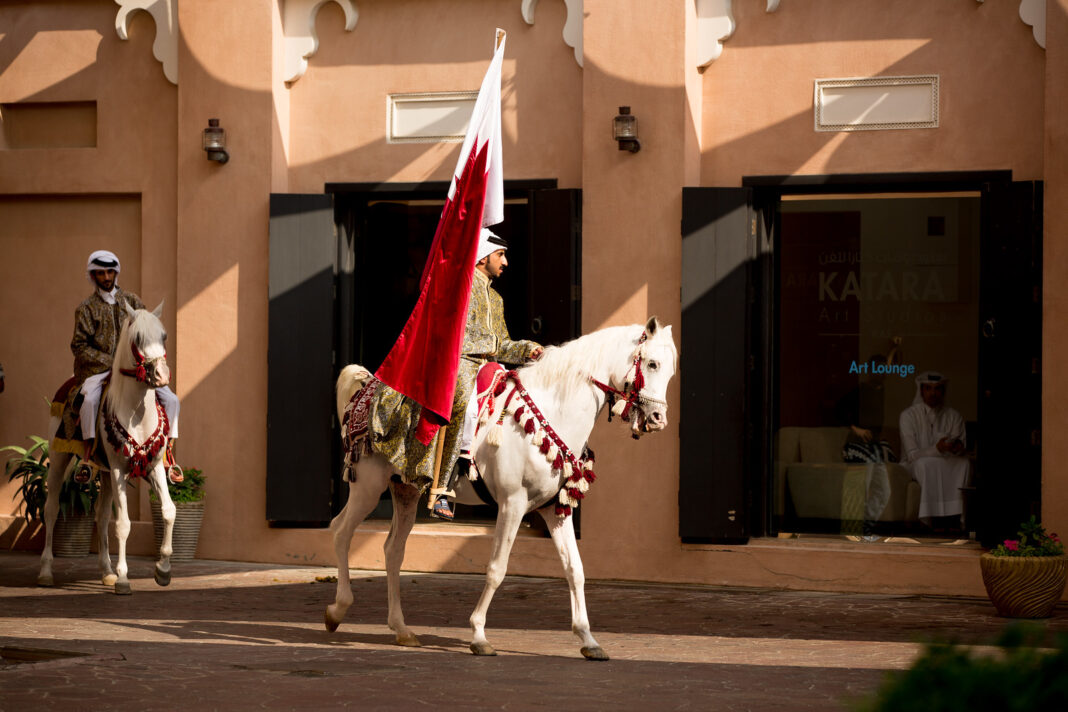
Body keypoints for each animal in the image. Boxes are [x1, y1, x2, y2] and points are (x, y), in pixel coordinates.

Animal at [38, 303, 177, 597]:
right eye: (138, 338)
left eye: (164, 336)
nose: (162, 376)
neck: (136, 412)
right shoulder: (118, 470)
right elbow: (123, 525)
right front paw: (124, 579)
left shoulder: (154, 468)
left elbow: (169, 511)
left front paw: (163, 570)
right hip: (59, 460)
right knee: (52, 509)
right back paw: (45, 572)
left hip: (103, 473)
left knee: (101, 517)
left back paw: (106, 571)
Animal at [322, 318, 674, 661]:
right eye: (652, 363)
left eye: (671, 371)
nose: (658, 419)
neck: (554, 412)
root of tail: (366, 386)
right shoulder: (512, 505)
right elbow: (497, 568)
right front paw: (479, 635)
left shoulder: (554, 510)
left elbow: (575, 569)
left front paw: (588, 639)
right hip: (368, 486)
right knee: (340, 531)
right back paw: (337, 610)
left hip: (405, 491)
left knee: (393, 550)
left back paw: (401, 629)